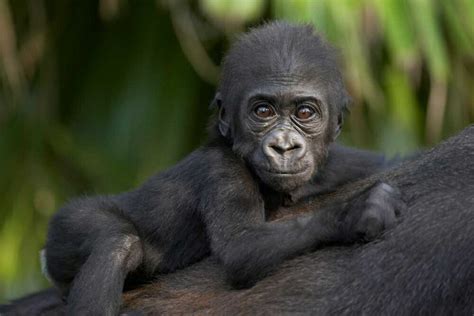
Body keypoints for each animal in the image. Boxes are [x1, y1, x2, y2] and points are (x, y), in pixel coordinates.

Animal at [44, 21, 402, 314]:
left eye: (304, 113)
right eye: (263, 111)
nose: (284, 145)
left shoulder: (334, 163)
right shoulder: (223, 171)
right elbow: (241, 246)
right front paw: (356, 211)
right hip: (65, 228)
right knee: (116, 241)